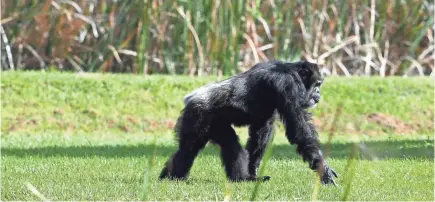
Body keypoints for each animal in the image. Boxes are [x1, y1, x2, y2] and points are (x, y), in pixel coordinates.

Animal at [160, 60, 340, 185]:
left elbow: (261, 131)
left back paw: (171, 176)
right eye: (317, 83)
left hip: (212, 123)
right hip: (198, 118)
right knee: (191, 149)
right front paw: (323, 168)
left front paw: (253, 169)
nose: (318, 92)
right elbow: (298, 128)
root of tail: (190, 99)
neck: (291, 72)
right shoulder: (287, 86)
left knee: (202, 148)